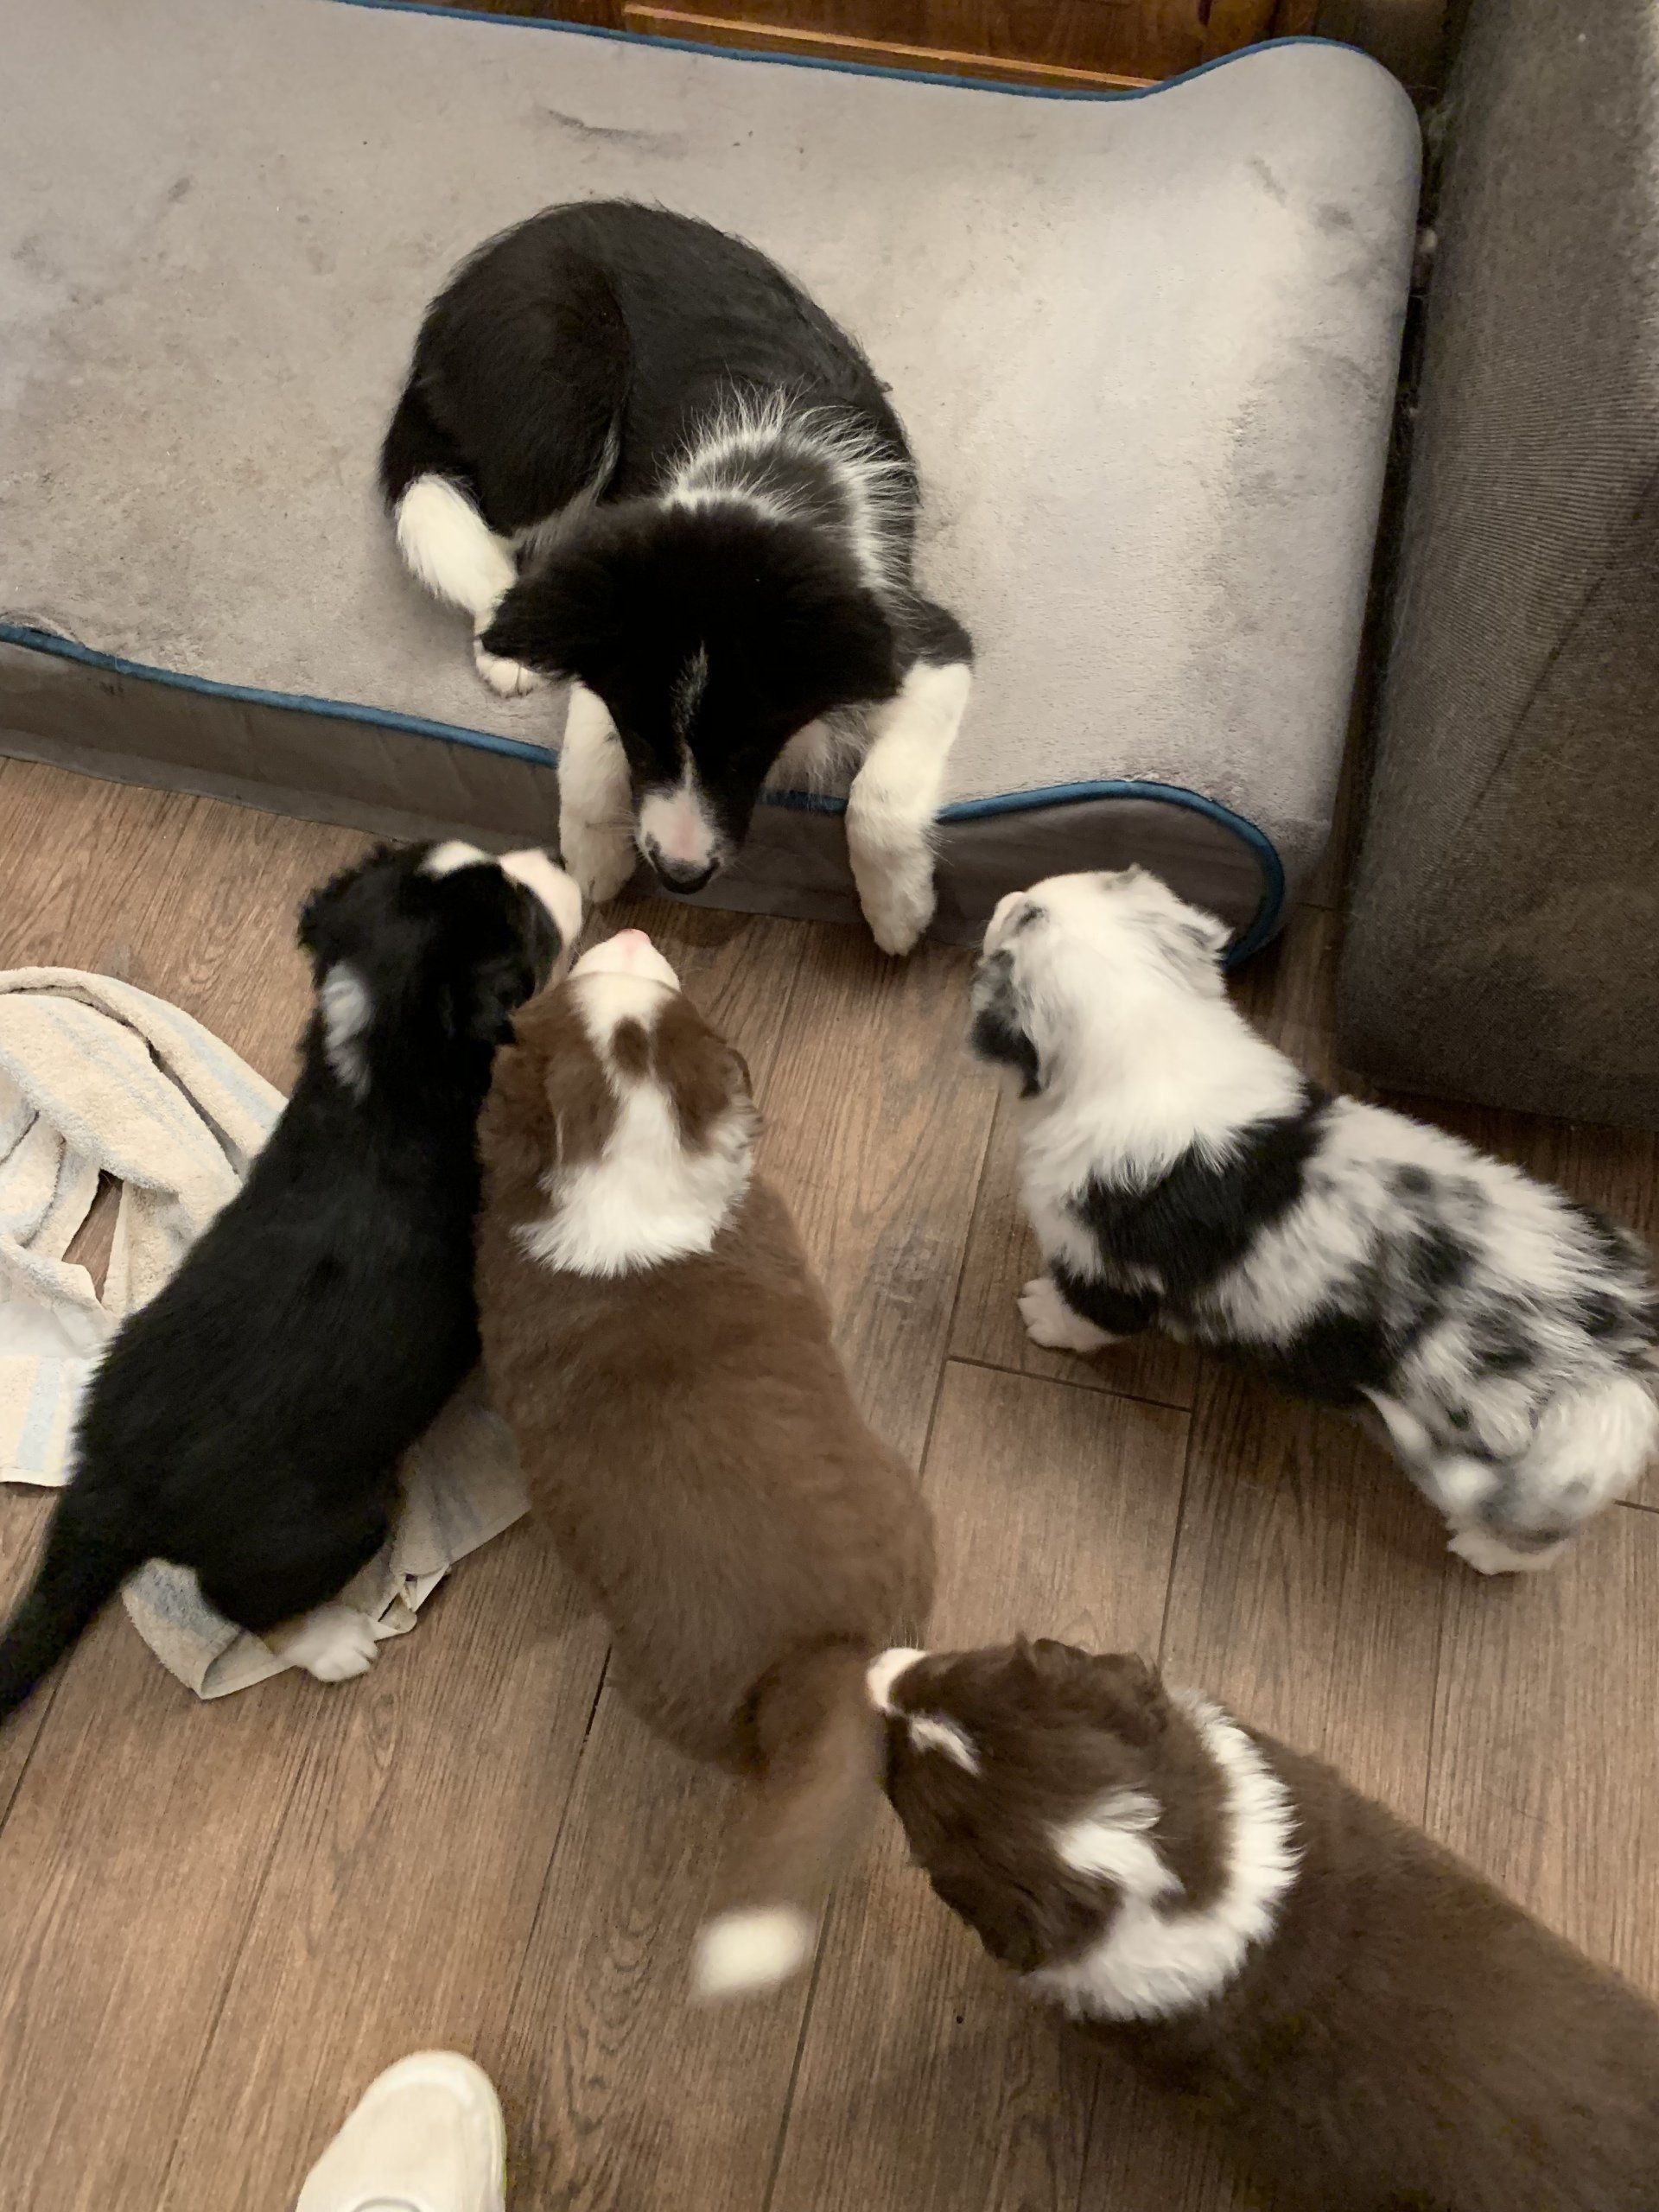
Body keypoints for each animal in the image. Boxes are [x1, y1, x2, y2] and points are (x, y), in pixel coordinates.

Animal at [0, 841, 581, 1723]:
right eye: (527, 920)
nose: (556, 853)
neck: (379, 1073)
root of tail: (107, 1481)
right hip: (331, 1523)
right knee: (238, 1603)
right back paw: (332, 1643)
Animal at [380, 199, 973, 954]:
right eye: (640, 737)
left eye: (744, 746)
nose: (681, 877)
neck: (750, 497)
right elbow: (584, 760)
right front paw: (592, 859)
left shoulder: (925, 643)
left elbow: (880, 799)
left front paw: (896, 912)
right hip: (563, 411)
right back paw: (502, 639)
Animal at [969, 868, 1659, 1572]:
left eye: (1024, 918)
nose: (1007, 895)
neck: (1152, 1046)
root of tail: (1616, 1362)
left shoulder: (1106, 1267)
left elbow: (1082, 1315)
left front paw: (1041, 1315)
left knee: (1541, 1535)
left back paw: (1483, 1551)